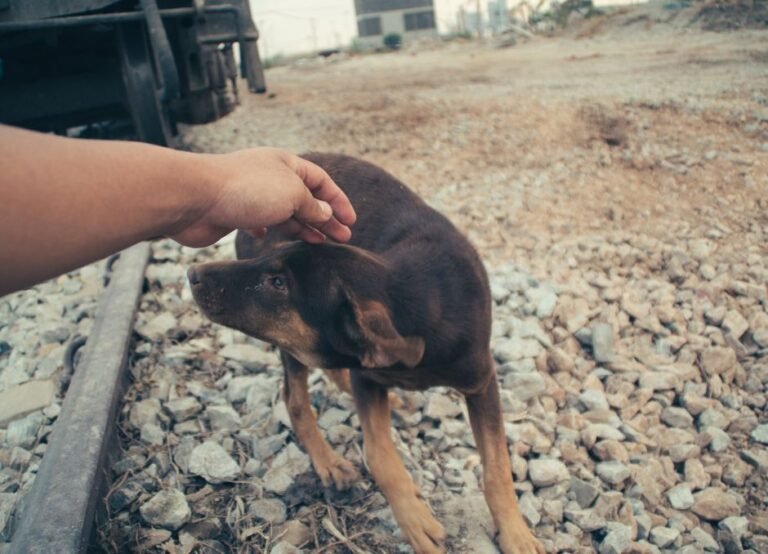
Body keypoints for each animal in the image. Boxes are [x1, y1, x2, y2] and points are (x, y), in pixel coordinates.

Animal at [188, 153, 544, 552]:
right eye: (275, 268)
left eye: (277, 283)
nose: (192, 273)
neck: (418, 295)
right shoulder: (369, 379)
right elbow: (379, 455)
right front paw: (415, 520)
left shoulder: (480, 382)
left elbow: (497, 467)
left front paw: (515, 533)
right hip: (292, 347)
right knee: (295, 399)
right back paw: (328, 461)